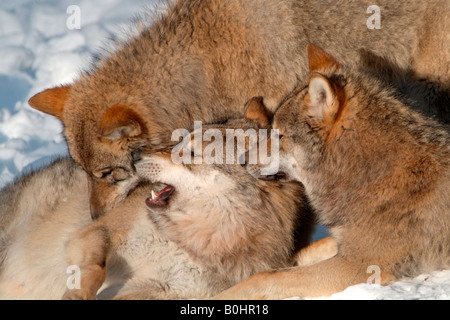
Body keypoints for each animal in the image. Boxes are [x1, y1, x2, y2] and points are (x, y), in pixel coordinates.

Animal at [0, 102, 312, 300]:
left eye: (192, 153)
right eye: (179, 141)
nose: (136, 155)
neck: (187, 241)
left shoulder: (161, 289)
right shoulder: (96, 231)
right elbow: (94, 269)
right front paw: (77, 294)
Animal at [215, 45, 450, 300]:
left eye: (279, 134)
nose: (242, 160)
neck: (367, 173)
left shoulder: (360, 266)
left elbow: (266, 277)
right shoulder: (343, 243)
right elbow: (301, 254)